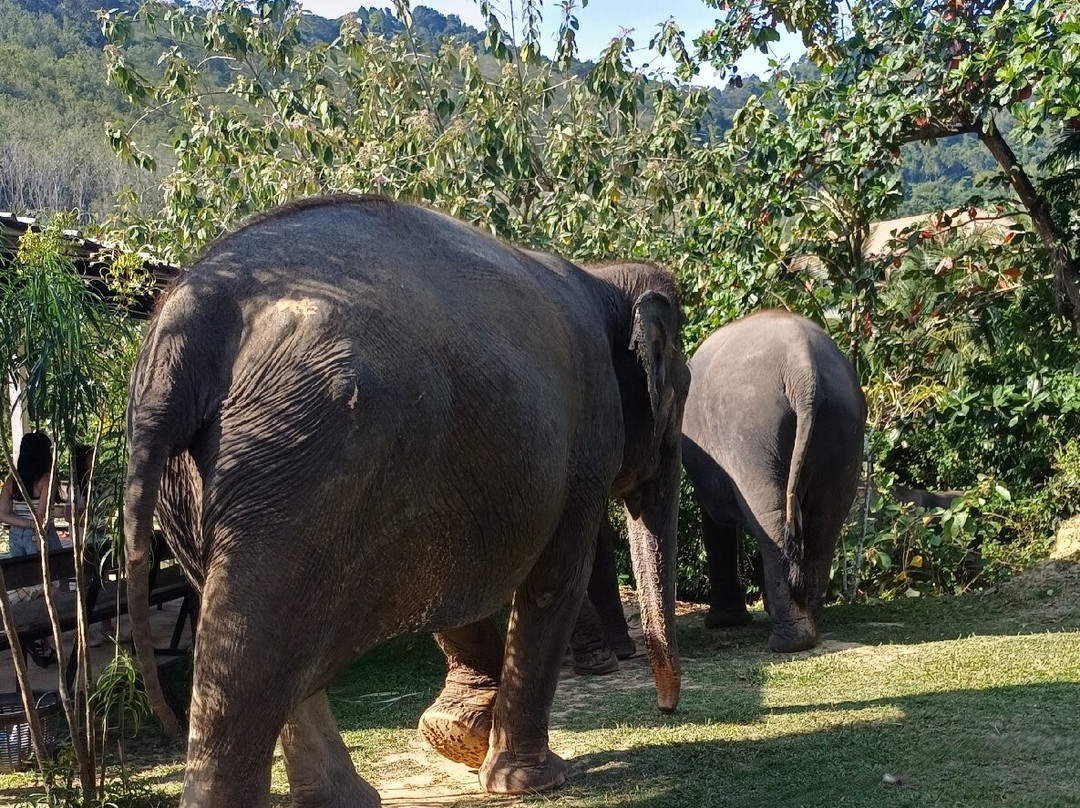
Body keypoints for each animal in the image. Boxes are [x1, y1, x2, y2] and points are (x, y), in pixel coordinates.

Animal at [122, 195, 690, 808]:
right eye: (682, 391)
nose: (667, 708)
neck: (603, 277)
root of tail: (192, 315)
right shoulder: (589, 433)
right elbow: (555, 577)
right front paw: (530, 779)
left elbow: (452, 566)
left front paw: (457, 735)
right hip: (298, 450)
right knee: (250, 652)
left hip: (210, 479)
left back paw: (347, 799)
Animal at [682, 310, 867, 652]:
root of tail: (803, 371)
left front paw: (722, 623)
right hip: (844, 425)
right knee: (825, 521)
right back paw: (810, 628)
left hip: (751, 434)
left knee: (773, 522)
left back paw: (789, 643)